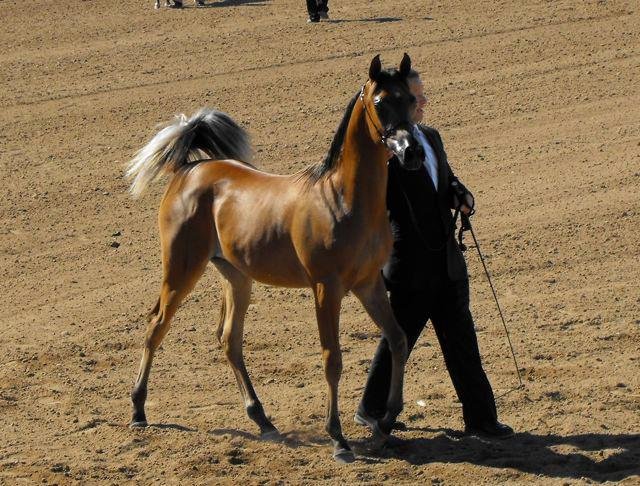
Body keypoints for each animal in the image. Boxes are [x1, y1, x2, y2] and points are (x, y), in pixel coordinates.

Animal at [126, 54, 424, 463]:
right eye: (380, 102)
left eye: (409, 98)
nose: (412, 153)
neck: (343, 199)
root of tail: (188, 169)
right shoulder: (326, 288)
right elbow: (332, 358)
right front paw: (338, 439)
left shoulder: (369, 284)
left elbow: (397, 339)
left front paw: (387, 421)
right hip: (181, 271)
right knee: (157, 326)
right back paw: (138, 411)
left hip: (237, 277)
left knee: (229, 340)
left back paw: (263, 420)